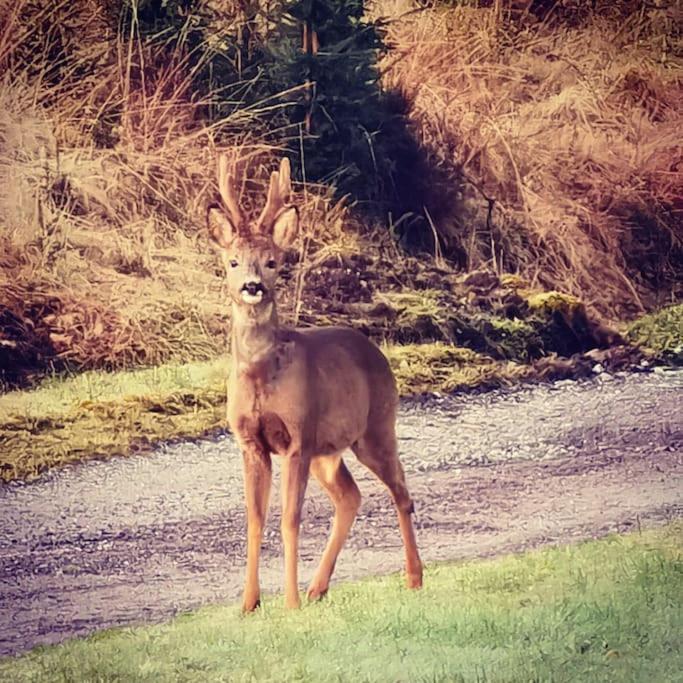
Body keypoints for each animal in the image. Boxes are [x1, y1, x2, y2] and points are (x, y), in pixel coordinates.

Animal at [208, 156, 422, 616]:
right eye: (233, 261)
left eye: (272, 261)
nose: (252, 286)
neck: (260, 376)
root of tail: (375, 350)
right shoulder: (249, 442)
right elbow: (255, 520)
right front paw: (249, 604)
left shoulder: (298, 437)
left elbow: (290, 519)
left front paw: (288, 603)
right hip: (330, 450)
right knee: (350, 496)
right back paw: (318, 588)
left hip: (376, 428)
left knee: (401, 490)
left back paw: (414, 577)